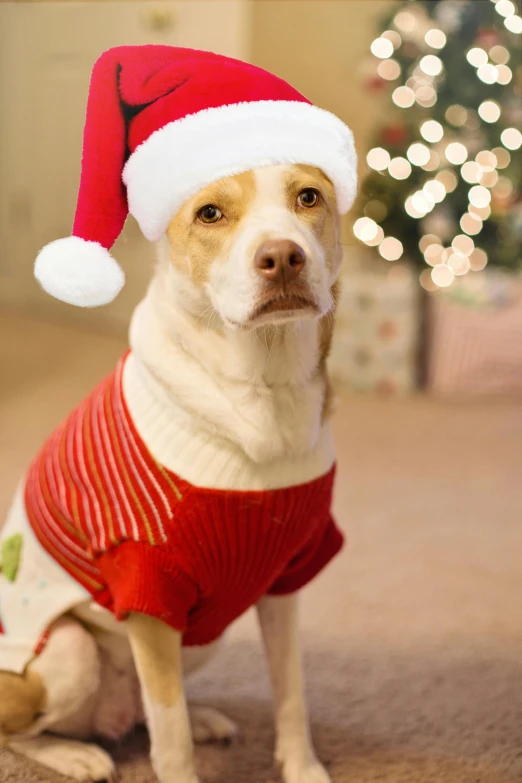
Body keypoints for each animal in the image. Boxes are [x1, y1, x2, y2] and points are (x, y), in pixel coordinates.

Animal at [0, 161, 342, 783]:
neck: (264, 393)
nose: (282, 256)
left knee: (147, 710)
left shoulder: (285, 575)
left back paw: (201, 717)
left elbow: (291, 690)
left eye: (308, 197)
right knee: (21, 729)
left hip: (203, 635)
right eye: (210, 213)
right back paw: (75, 754)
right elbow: (171, 735)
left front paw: (303, 767)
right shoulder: (149, 594)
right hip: (67, 651)